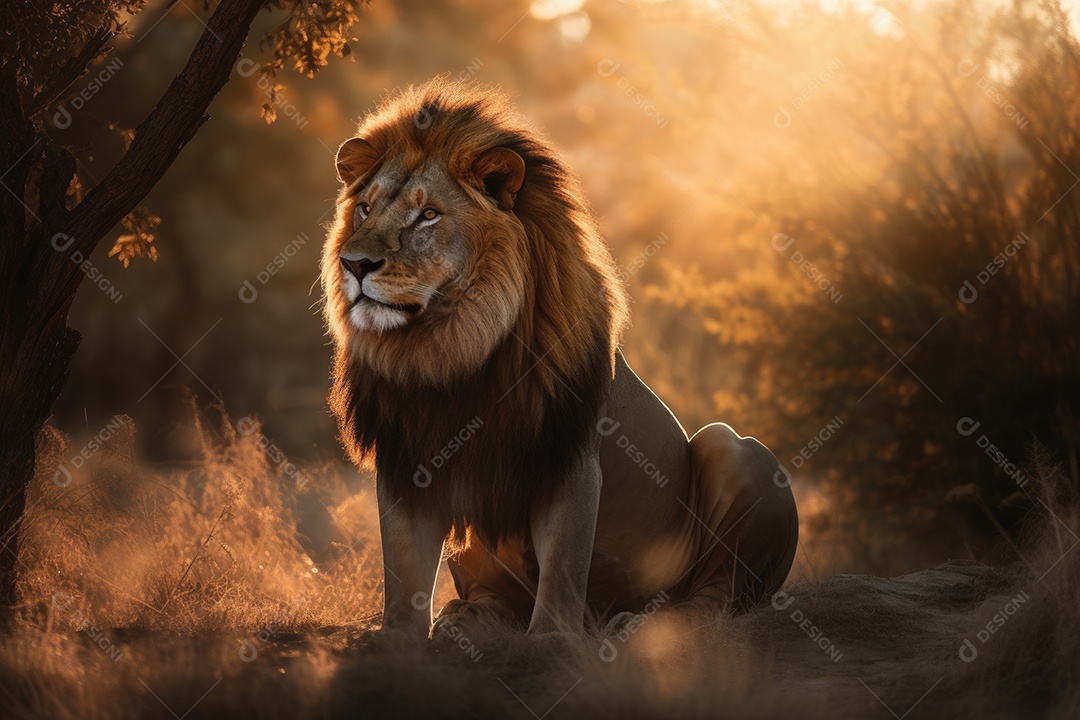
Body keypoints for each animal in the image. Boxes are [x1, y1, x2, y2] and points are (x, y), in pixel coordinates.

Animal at [321, 78, 798, 641]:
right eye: (366, 209)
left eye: (429, 215)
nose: (354, 264)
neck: (450, 348)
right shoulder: (405, 459)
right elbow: (402, 571)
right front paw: (396, 638)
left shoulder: (569, 454)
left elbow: (563, 563)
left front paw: (551, 639)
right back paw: (471, 618)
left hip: (732, 450)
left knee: (718, 598)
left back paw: (644, 626)